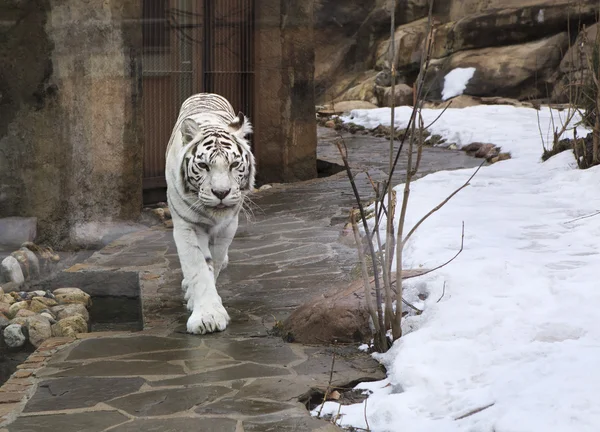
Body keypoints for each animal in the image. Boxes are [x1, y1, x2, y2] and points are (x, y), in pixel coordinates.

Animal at [165, 92, 256, 334]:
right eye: (204, 166)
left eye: (234, 164)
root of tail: (204, 93)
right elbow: (197, 267)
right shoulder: (187, 225)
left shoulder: (227, 226)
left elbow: (212, 263)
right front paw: (207, 317)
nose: (221, 193)